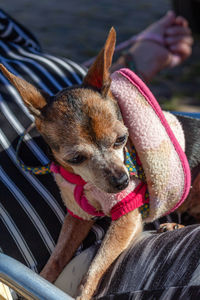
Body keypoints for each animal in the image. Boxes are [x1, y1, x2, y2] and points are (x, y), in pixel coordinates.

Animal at [0, 27, 187, 298]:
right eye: (76, 158)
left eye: (121, 139)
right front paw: (42, 279)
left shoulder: (127, 218)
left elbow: (95, 266)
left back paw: (173, 224)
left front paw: (82, 293)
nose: (122, 181)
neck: (85, 183)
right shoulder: (77, 217)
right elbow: (56, 258)